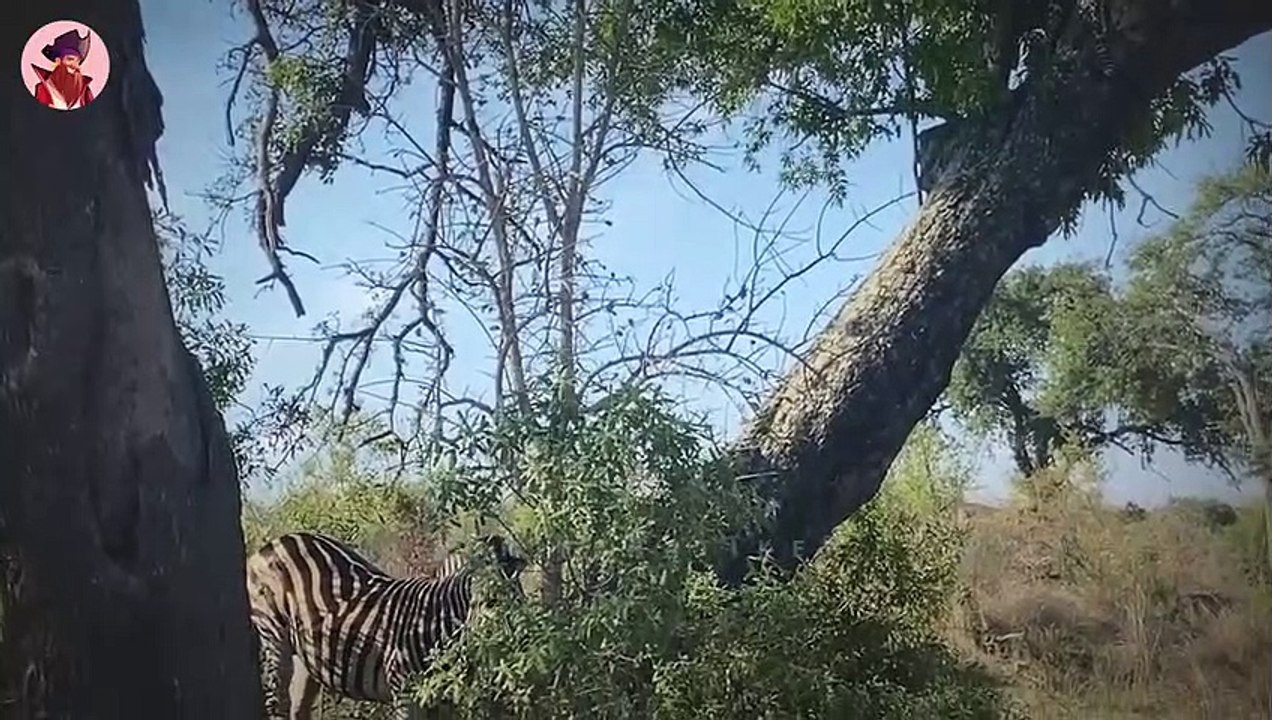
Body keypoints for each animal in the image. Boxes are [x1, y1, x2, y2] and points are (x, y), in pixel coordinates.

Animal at [245, 531, 527, 719]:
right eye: (489, 601)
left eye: (518, 597)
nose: (518, 643)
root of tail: (275, 542)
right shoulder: (405, 692)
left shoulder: (443, 699)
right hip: (273, 635)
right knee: (278, 699)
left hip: (307, 658)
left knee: (298, 706)